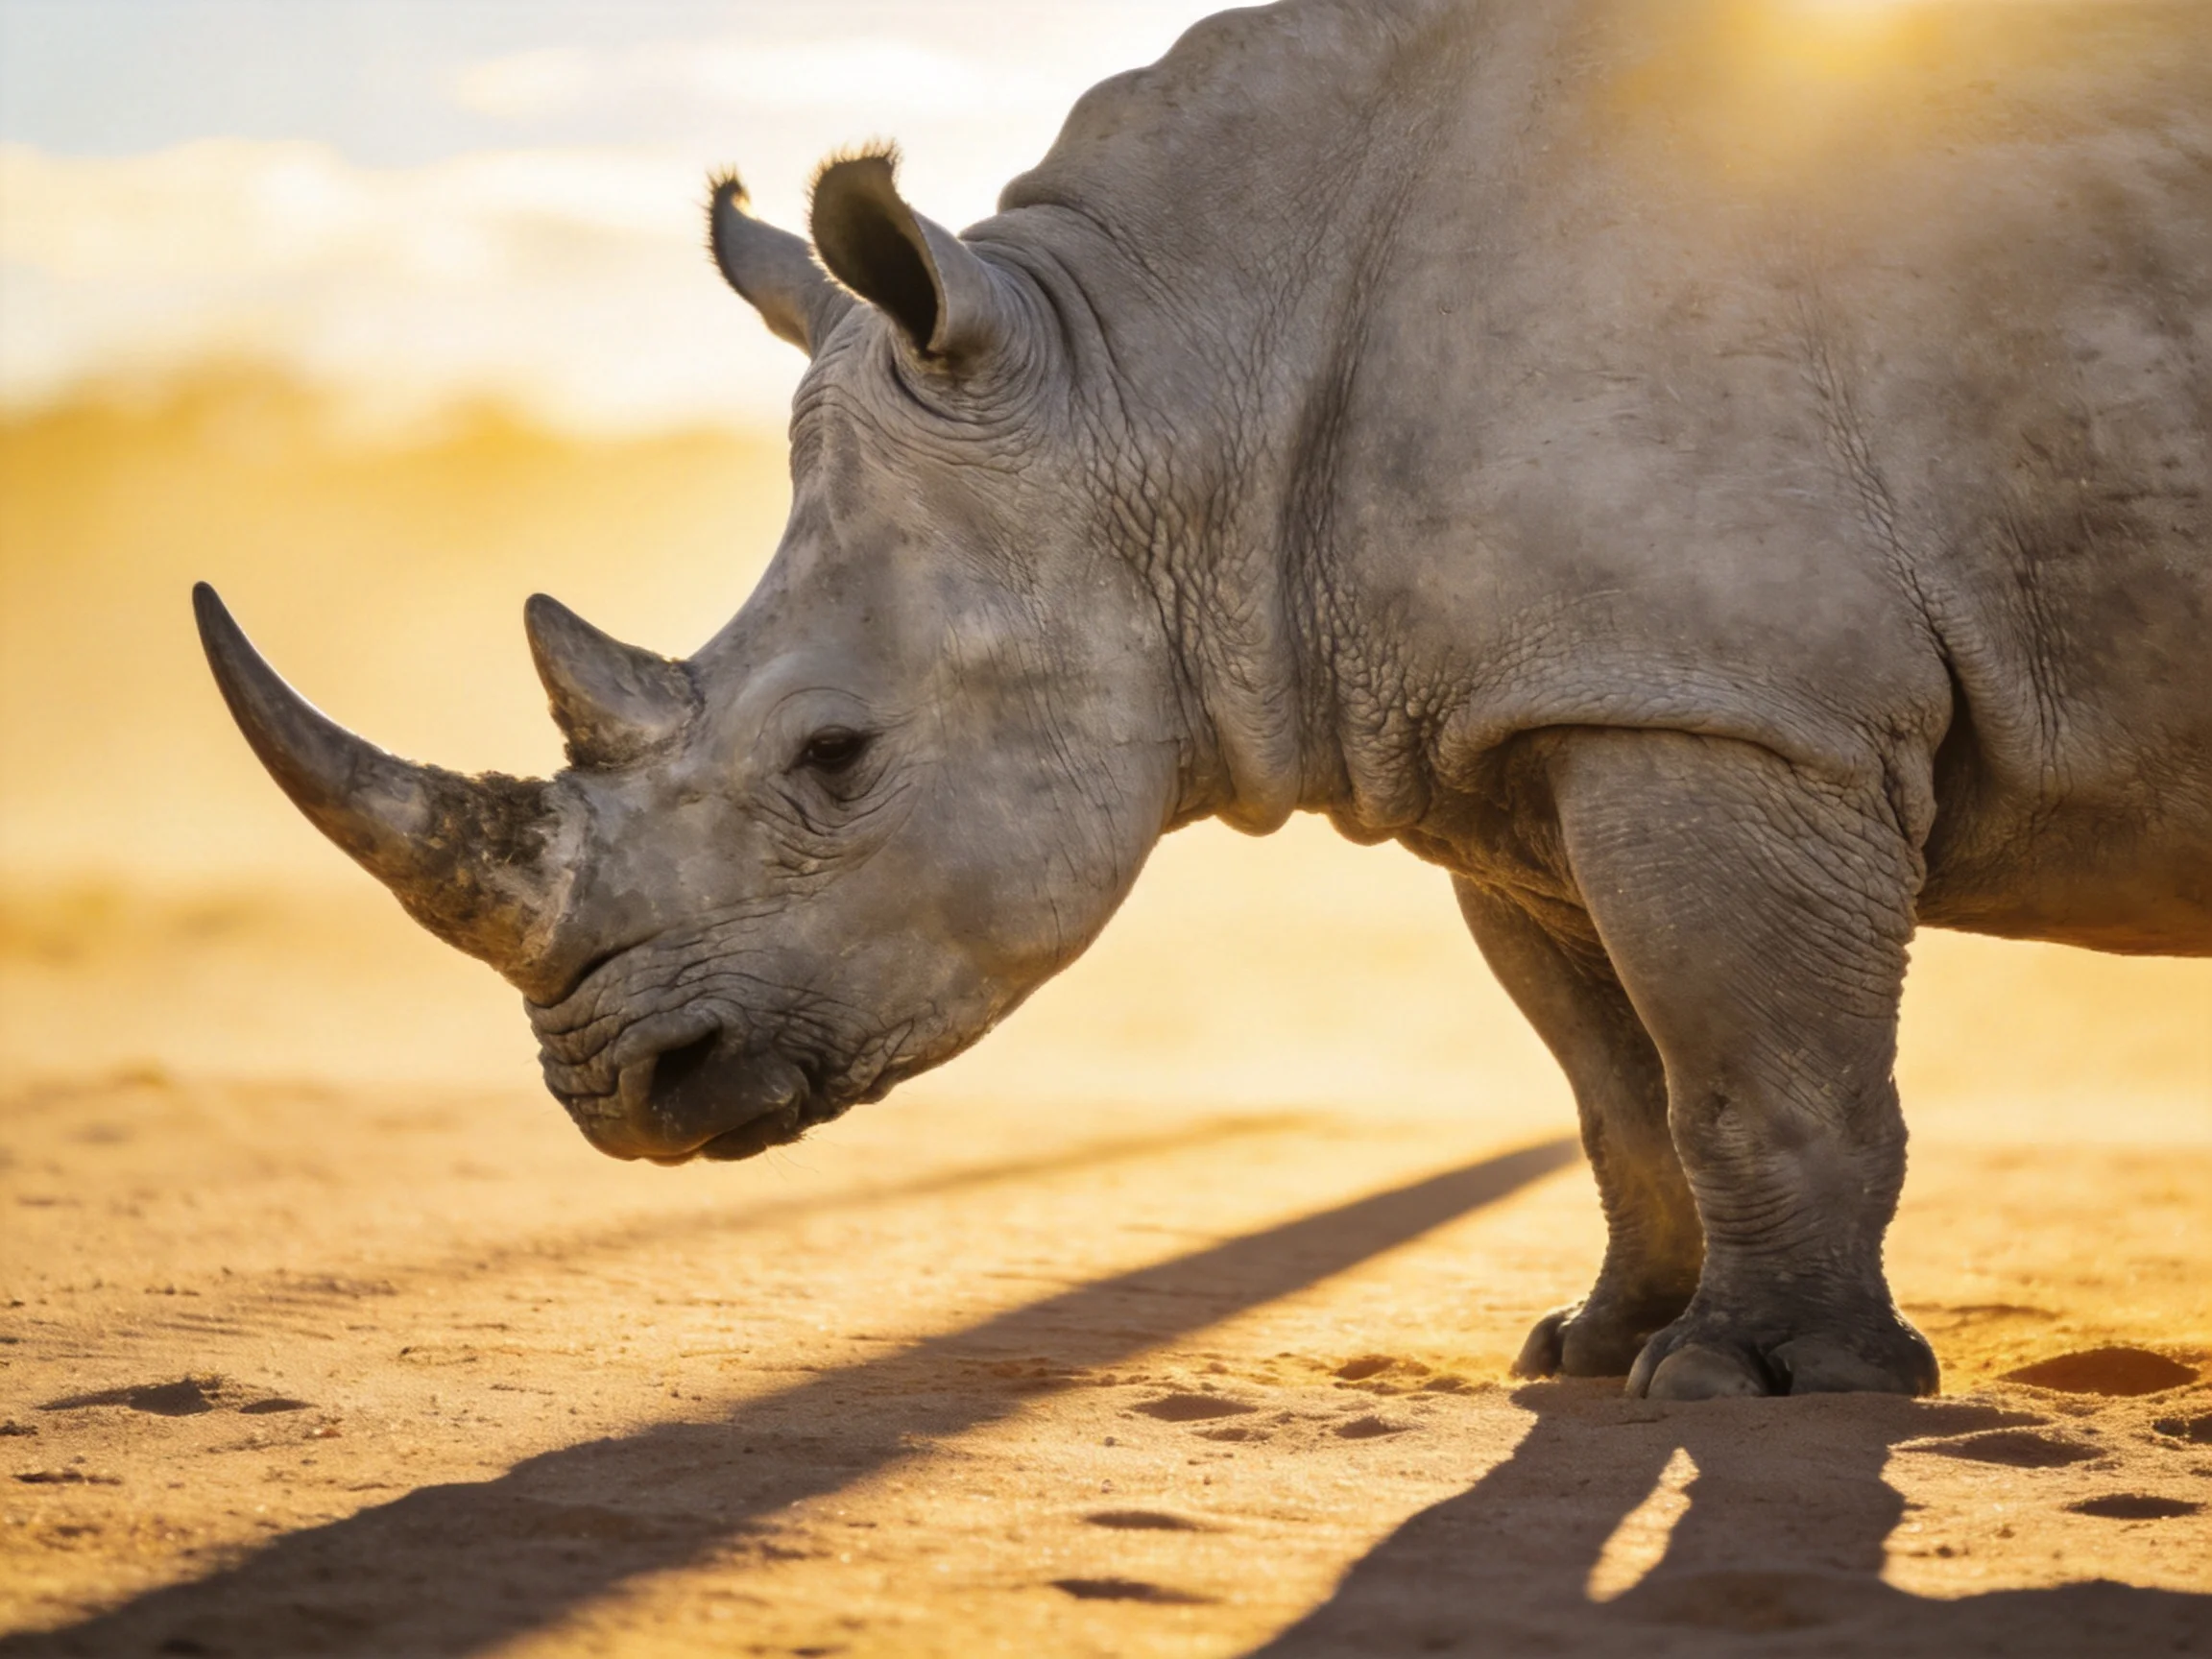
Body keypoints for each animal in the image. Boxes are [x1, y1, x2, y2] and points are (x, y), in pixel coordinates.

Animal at [195, 0, 2211, 1400]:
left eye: (832, 758)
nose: (617, 1089)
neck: (1165, 379)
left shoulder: (1723, 700)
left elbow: (1750, 1065)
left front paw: (1763, 1383)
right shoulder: (1534, 709)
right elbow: (1616, 1085)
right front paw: (1583, 1352)